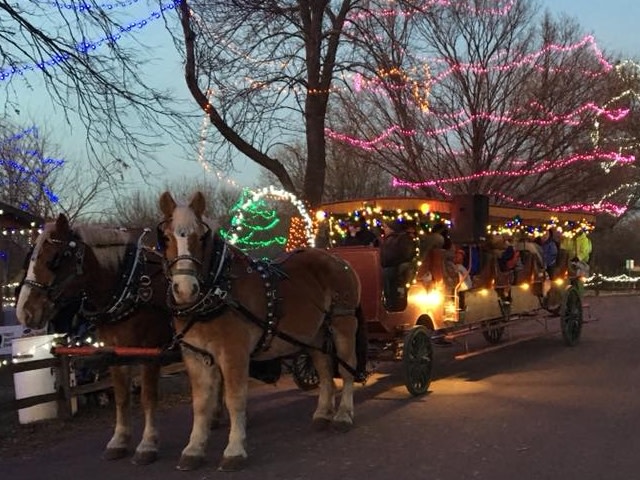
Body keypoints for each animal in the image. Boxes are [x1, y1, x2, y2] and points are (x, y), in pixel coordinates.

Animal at [17, 215, 178, 464]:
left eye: (53, 259)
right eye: (28, 259)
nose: (24, 312)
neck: (129, 286)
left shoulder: (150, 351)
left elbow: (148, 397)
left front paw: (148, 444)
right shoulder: (115, 351)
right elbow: (121, 397)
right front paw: (119, 441)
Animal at [158, 191, 368, 472]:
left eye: (201, 238)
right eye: (165, 237)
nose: (184, 288)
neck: (218, 288)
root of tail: (338, 260)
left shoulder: (234, 353)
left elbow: (235, 399)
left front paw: (234, 450)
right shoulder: (195, 355)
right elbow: (201, 404)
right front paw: (193, 449)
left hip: (342, 324)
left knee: (346, 369)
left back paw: (343, 416)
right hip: (314, 334)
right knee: (324, 371)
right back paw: (322, 414)